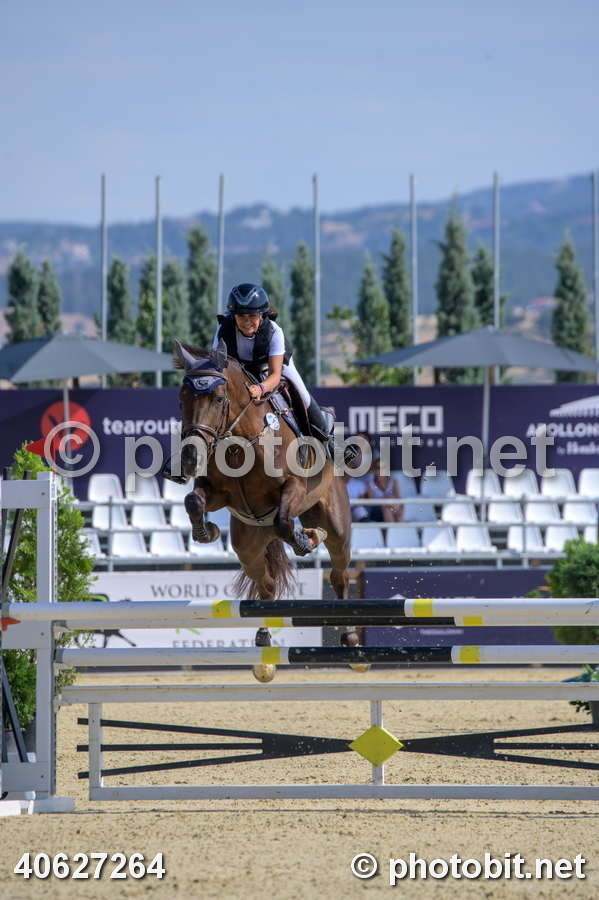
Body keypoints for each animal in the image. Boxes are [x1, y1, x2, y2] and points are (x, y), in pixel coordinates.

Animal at [171, 340, 361, 681]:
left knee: (338, 574)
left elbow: (285, 520)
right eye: (182, 399)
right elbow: (194, 501)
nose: (191, 459)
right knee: (267, 585)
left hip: (336, 526)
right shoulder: (219, 494)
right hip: (248, 548)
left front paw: (306, 539)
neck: (241, 440)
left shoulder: (294, 488)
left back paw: (350, 638)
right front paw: (207, 532)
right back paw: (264, 644)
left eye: (218, 398)